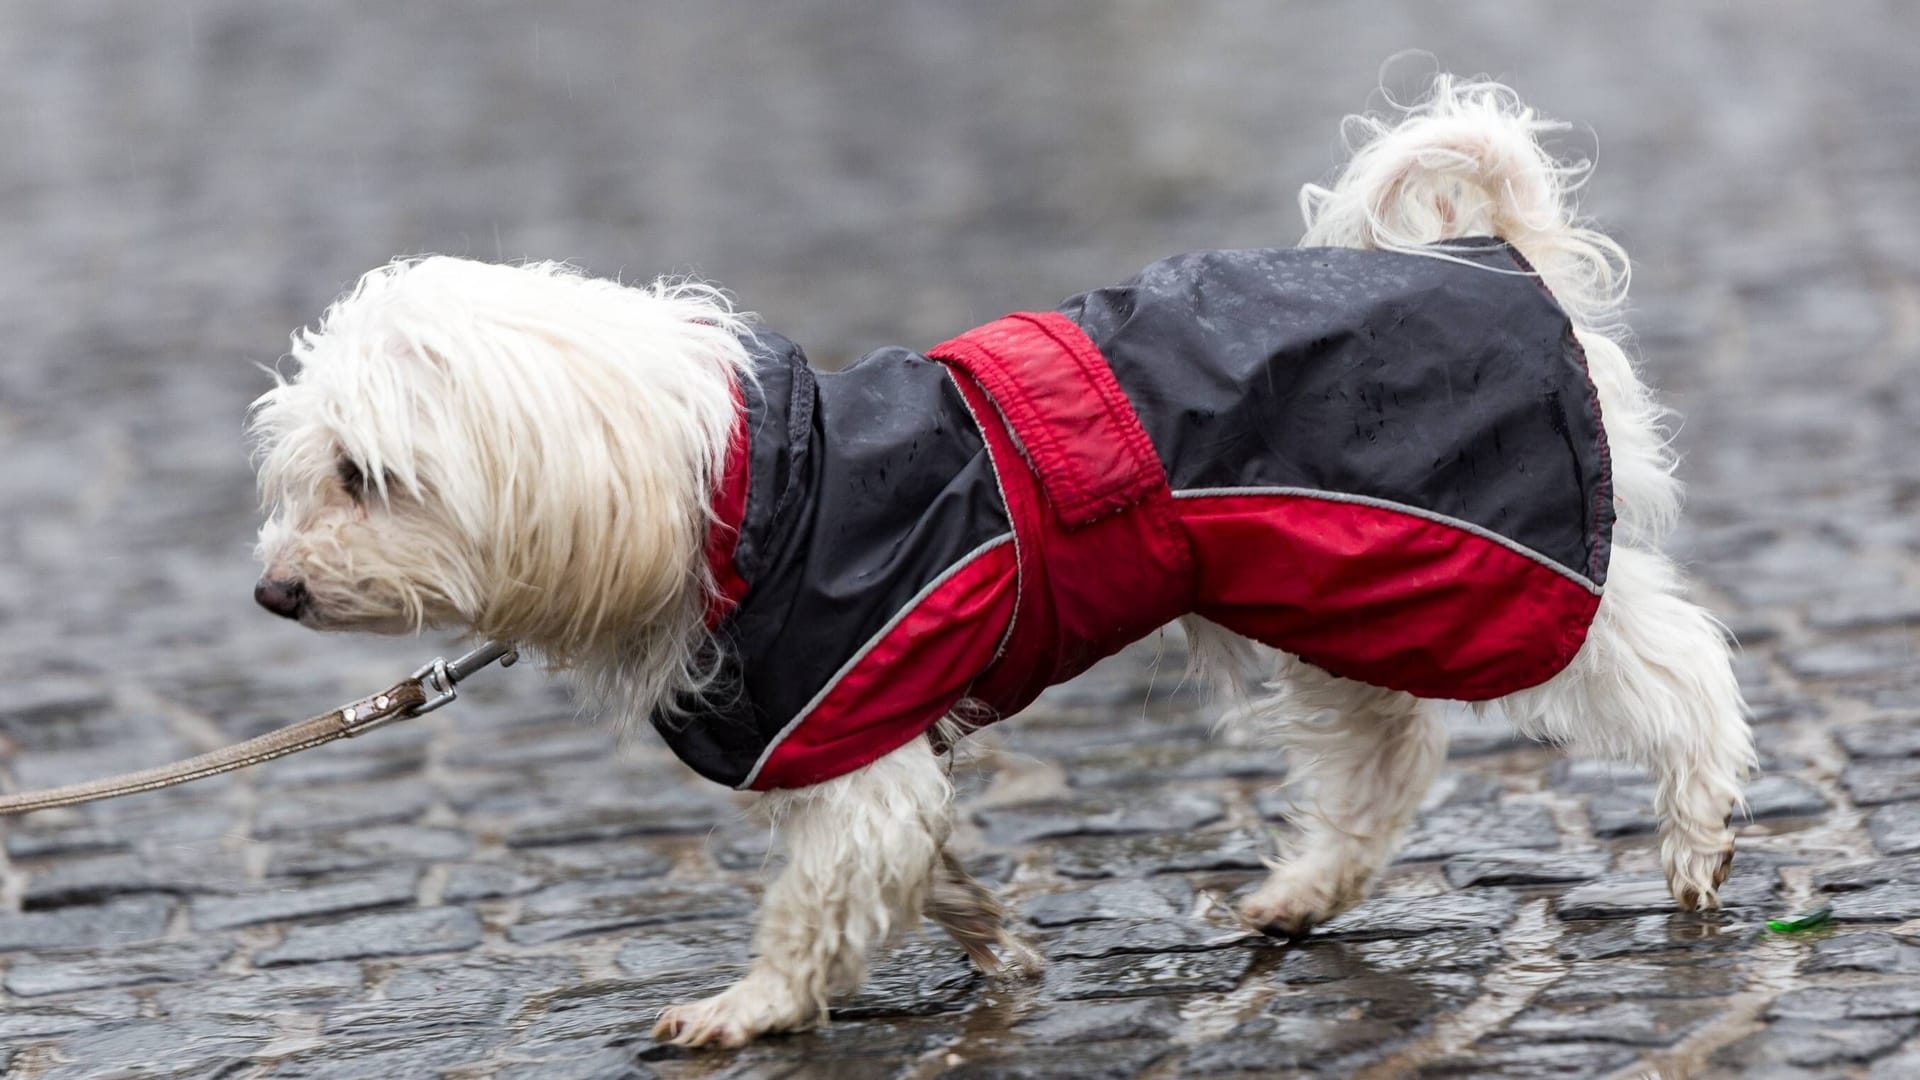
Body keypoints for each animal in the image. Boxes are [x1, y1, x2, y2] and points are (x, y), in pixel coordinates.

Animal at [255, 79, 1758, 1045]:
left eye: (365, 478)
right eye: (303, 475)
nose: (273, 592)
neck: (735, 490)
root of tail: (1495, 253)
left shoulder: (847, 731)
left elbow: (820, 900)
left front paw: (751, 1009)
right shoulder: (872, 749)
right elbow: (924, 867)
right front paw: (997, 947)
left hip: (1495, 561)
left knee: (1673, 669)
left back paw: (1697, 832)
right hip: (1339, 579)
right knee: (1388, 754)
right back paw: (1307, 891)